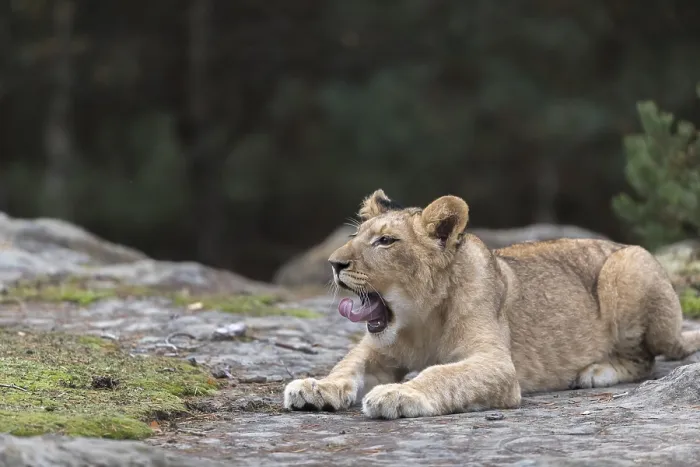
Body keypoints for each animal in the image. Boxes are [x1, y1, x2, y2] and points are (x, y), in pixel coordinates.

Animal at [283, 189, 700, 419]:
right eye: (355, 237)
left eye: (386, 241)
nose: (333, 263)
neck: (419, 319)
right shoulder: (377, 348)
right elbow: (346, 365)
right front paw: (314, 388)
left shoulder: (498, 365)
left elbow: (441, 374)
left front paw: (398, 394)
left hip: (628, 267)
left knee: (647, 358)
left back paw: (598, 371)